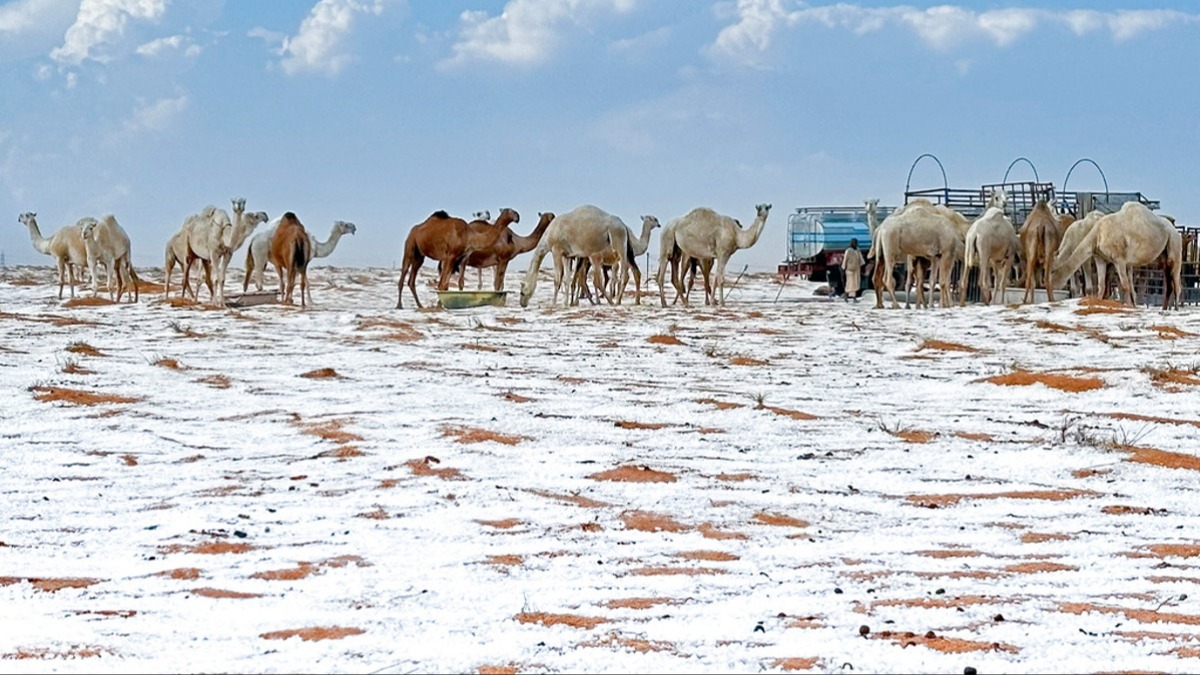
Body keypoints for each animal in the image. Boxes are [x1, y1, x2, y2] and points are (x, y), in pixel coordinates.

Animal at [1051, 196, 1180, 307]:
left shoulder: (1119, 259)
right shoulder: (1100, 258)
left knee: (1176, 284)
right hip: (1163, 256)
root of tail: (1174, 229)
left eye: (1051, 272)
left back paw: (1175, 309)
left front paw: (1128, 306)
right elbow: (1101, 285)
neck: (1097, 235)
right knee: (1169, 284)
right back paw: (1164, 309)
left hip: (1174, 243)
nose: (1049, 286)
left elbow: (1124, 285)